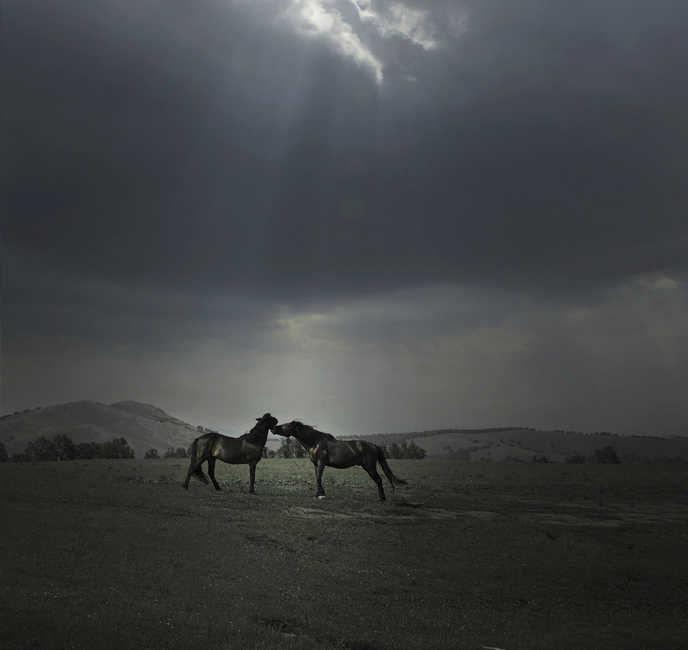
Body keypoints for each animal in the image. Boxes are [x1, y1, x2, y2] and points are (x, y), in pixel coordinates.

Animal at [272, 420, 406, 502]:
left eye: (285, 425)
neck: (315, 443)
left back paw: (381, 499)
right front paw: (318, 493)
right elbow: (317, 477)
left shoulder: (321, 463)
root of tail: (374, 446)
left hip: (370, 467)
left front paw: (321, 494)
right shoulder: (315, 464)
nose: (273, 428)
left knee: (378, 480)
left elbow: (319, 478)